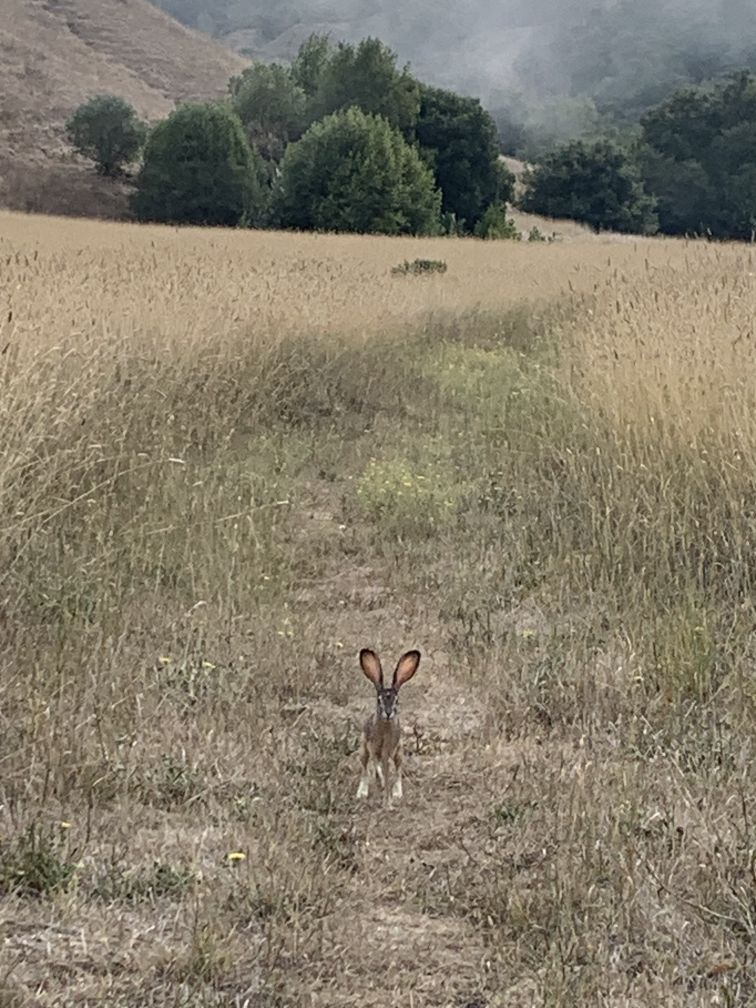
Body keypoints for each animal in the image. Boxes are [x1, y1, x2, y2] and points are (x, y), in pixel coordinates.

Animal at [356, 647, 420, 801]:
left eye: (396, 700)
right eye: (379, 700)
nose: (388, 713)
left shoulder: (392, 749)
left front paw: (389, 789)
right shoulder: (373, 748)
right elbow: (376, 766)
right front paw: (381, 783)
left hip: (399, 752)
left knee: (397, 770)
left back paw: (396, 792)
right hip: (363, 750)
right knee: (365, 769)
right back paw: (362, 792)